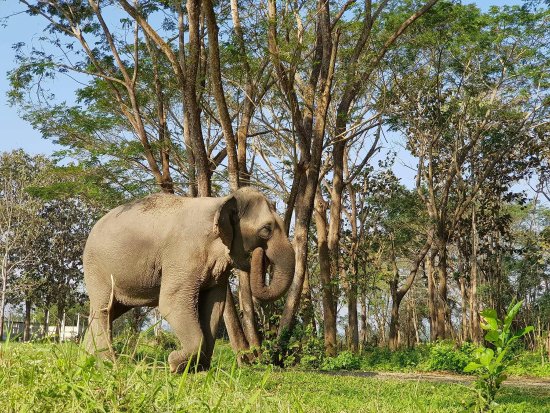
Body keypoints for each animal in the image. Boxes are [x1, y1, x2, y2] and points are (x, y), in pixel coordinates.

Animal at [82, 188, 296, 372]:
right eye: (266, 229)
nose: (259, 255)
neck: (221, 201)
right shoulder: (183, 255)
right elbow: (171, 302)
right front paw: (174, 364)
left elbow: (214, 306)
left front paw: (198, 370)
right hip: (97, 268)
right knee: (104, 310)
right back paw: (108, 364)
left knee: (106, 312)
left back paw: (88, 359)